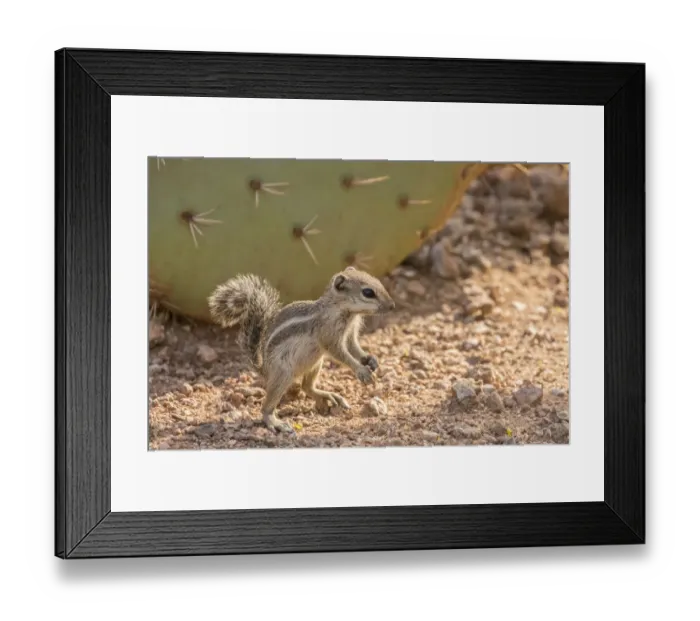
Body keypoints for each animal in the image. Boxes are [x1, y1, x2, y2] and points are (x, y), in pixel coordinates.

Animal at [207, 266, 396, 433]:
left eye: (378, 281)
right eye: (368, 292)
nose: (392, 306)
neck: (344, 310)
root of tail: (264, 369)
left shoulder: (350, 333)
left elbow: (354, 347)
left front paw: (370, 360)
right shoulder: (329, 335)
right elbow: (340, 353)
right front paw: (361, 370)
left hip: (316, 362)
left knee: (306, 387)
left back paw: (328, 395)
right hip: (283, 374)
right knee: (266, 407)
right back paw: (275, 422)